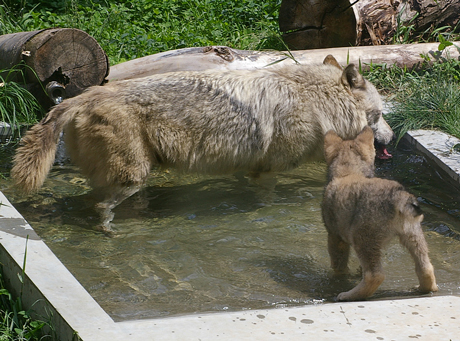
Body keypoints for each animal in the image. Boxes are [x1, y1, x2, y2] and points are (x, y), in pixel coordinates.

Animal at [10, 54, 394, 228]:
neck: (314, 101)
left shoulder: (247, 166)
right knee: (102, 207)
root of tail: (84, 96)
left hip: (128, 177)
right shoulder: (266, 172)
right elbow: (268, 199)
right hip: (131, 177)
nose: (392, 137)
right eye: (378, 114)